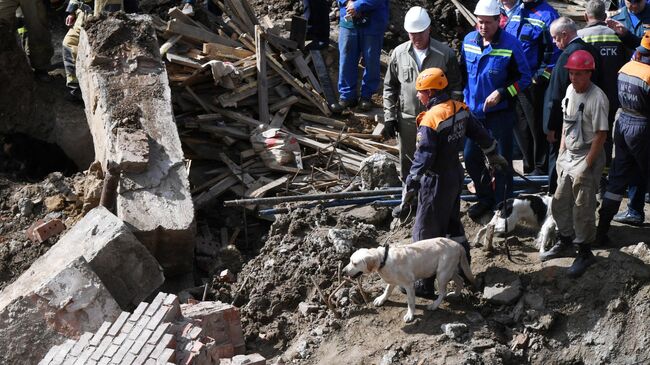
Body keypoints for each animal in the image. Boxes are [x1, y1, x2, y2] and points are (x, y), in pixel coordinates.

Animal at [342, 236, 474, 322]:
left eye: (354, 263)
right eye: (350, 260)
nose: (343, 271)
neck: (384, 259)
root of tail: (458, 245)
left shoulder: (409, 285)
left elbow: (410, 302)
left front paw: (410, 315)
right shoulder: (393, 280)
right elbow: (387, 290)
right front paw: (381, 299)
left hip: (442, 273)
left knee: (443, 292)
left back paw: (434, 305)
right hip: (448, 271)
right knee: (460, 280)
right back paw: (455, 294)